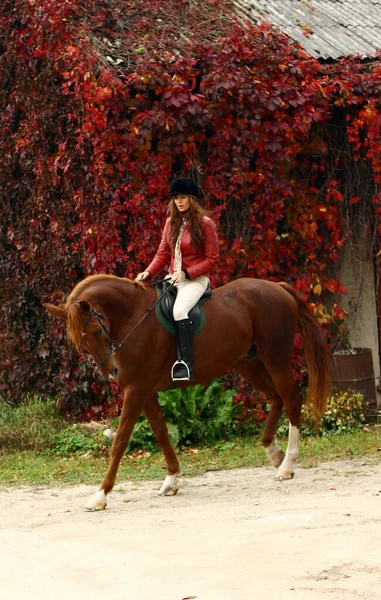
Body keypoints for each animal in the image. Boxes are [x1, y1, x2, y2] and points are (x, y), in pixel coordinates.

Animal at [43, 274, 330, 508]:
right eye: (80, 344)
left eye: (95, 331)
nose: (111, 372)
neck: (132, 316)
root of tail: (278, 287)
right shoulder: (145, 391)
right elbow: (161, 432)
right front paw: (171, 480)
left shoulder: (136, 390)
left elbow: (121, 440)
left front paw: (100, 495)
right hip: (247, 363)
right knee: (276, 397)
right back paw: (273, 451)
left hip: (276, 359)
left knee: (291, 399)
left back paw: (287, 465)